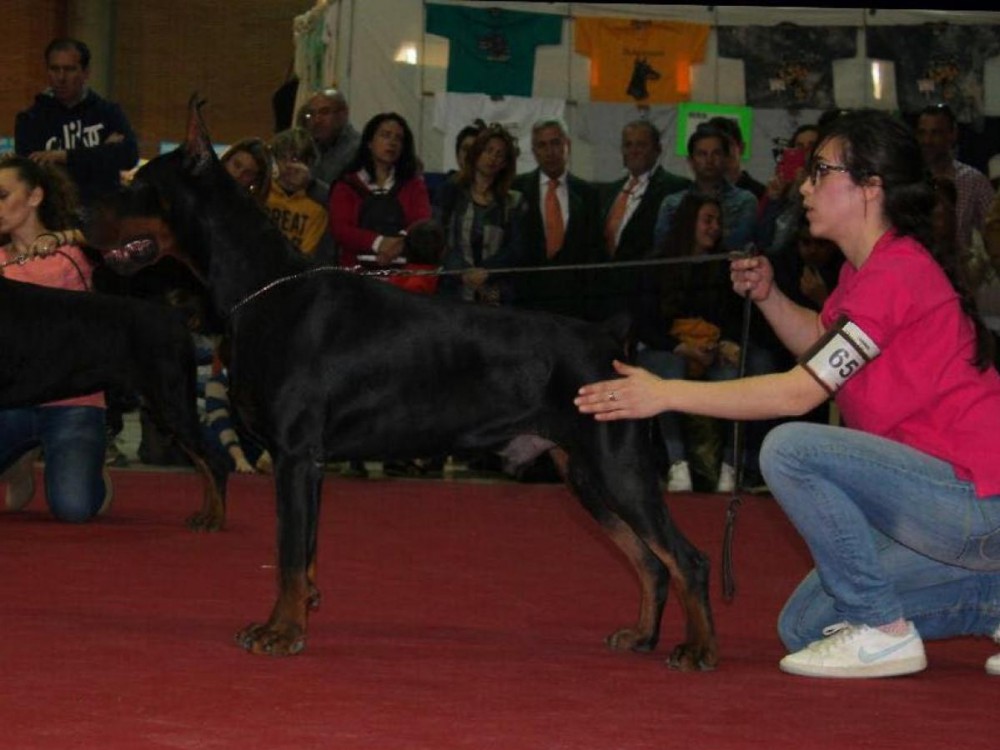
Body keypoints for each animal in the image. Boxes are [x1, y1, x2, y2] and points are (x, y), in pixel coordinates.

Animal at [0, 273, 228, 530]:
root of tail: (175, 315)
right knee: (201, 463)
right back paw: (204, 514)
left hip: (172, 401)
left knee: (214, 462)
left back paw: (214, 519)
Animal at [95, 96, 717, 670]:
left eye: (138, 184)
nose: (84, 208)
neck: (265, 286)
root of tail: (608, 337)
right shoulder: (310, 461)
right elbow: (306, 550)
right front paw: (302, 612)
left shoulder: (294, 453)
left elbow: (289, 553)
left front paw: (280, 631)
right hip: (584, 473)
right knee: (648, 560)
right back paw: (641, 635)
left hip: (617, 466)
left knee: (685, 558)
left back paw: (697, 648)